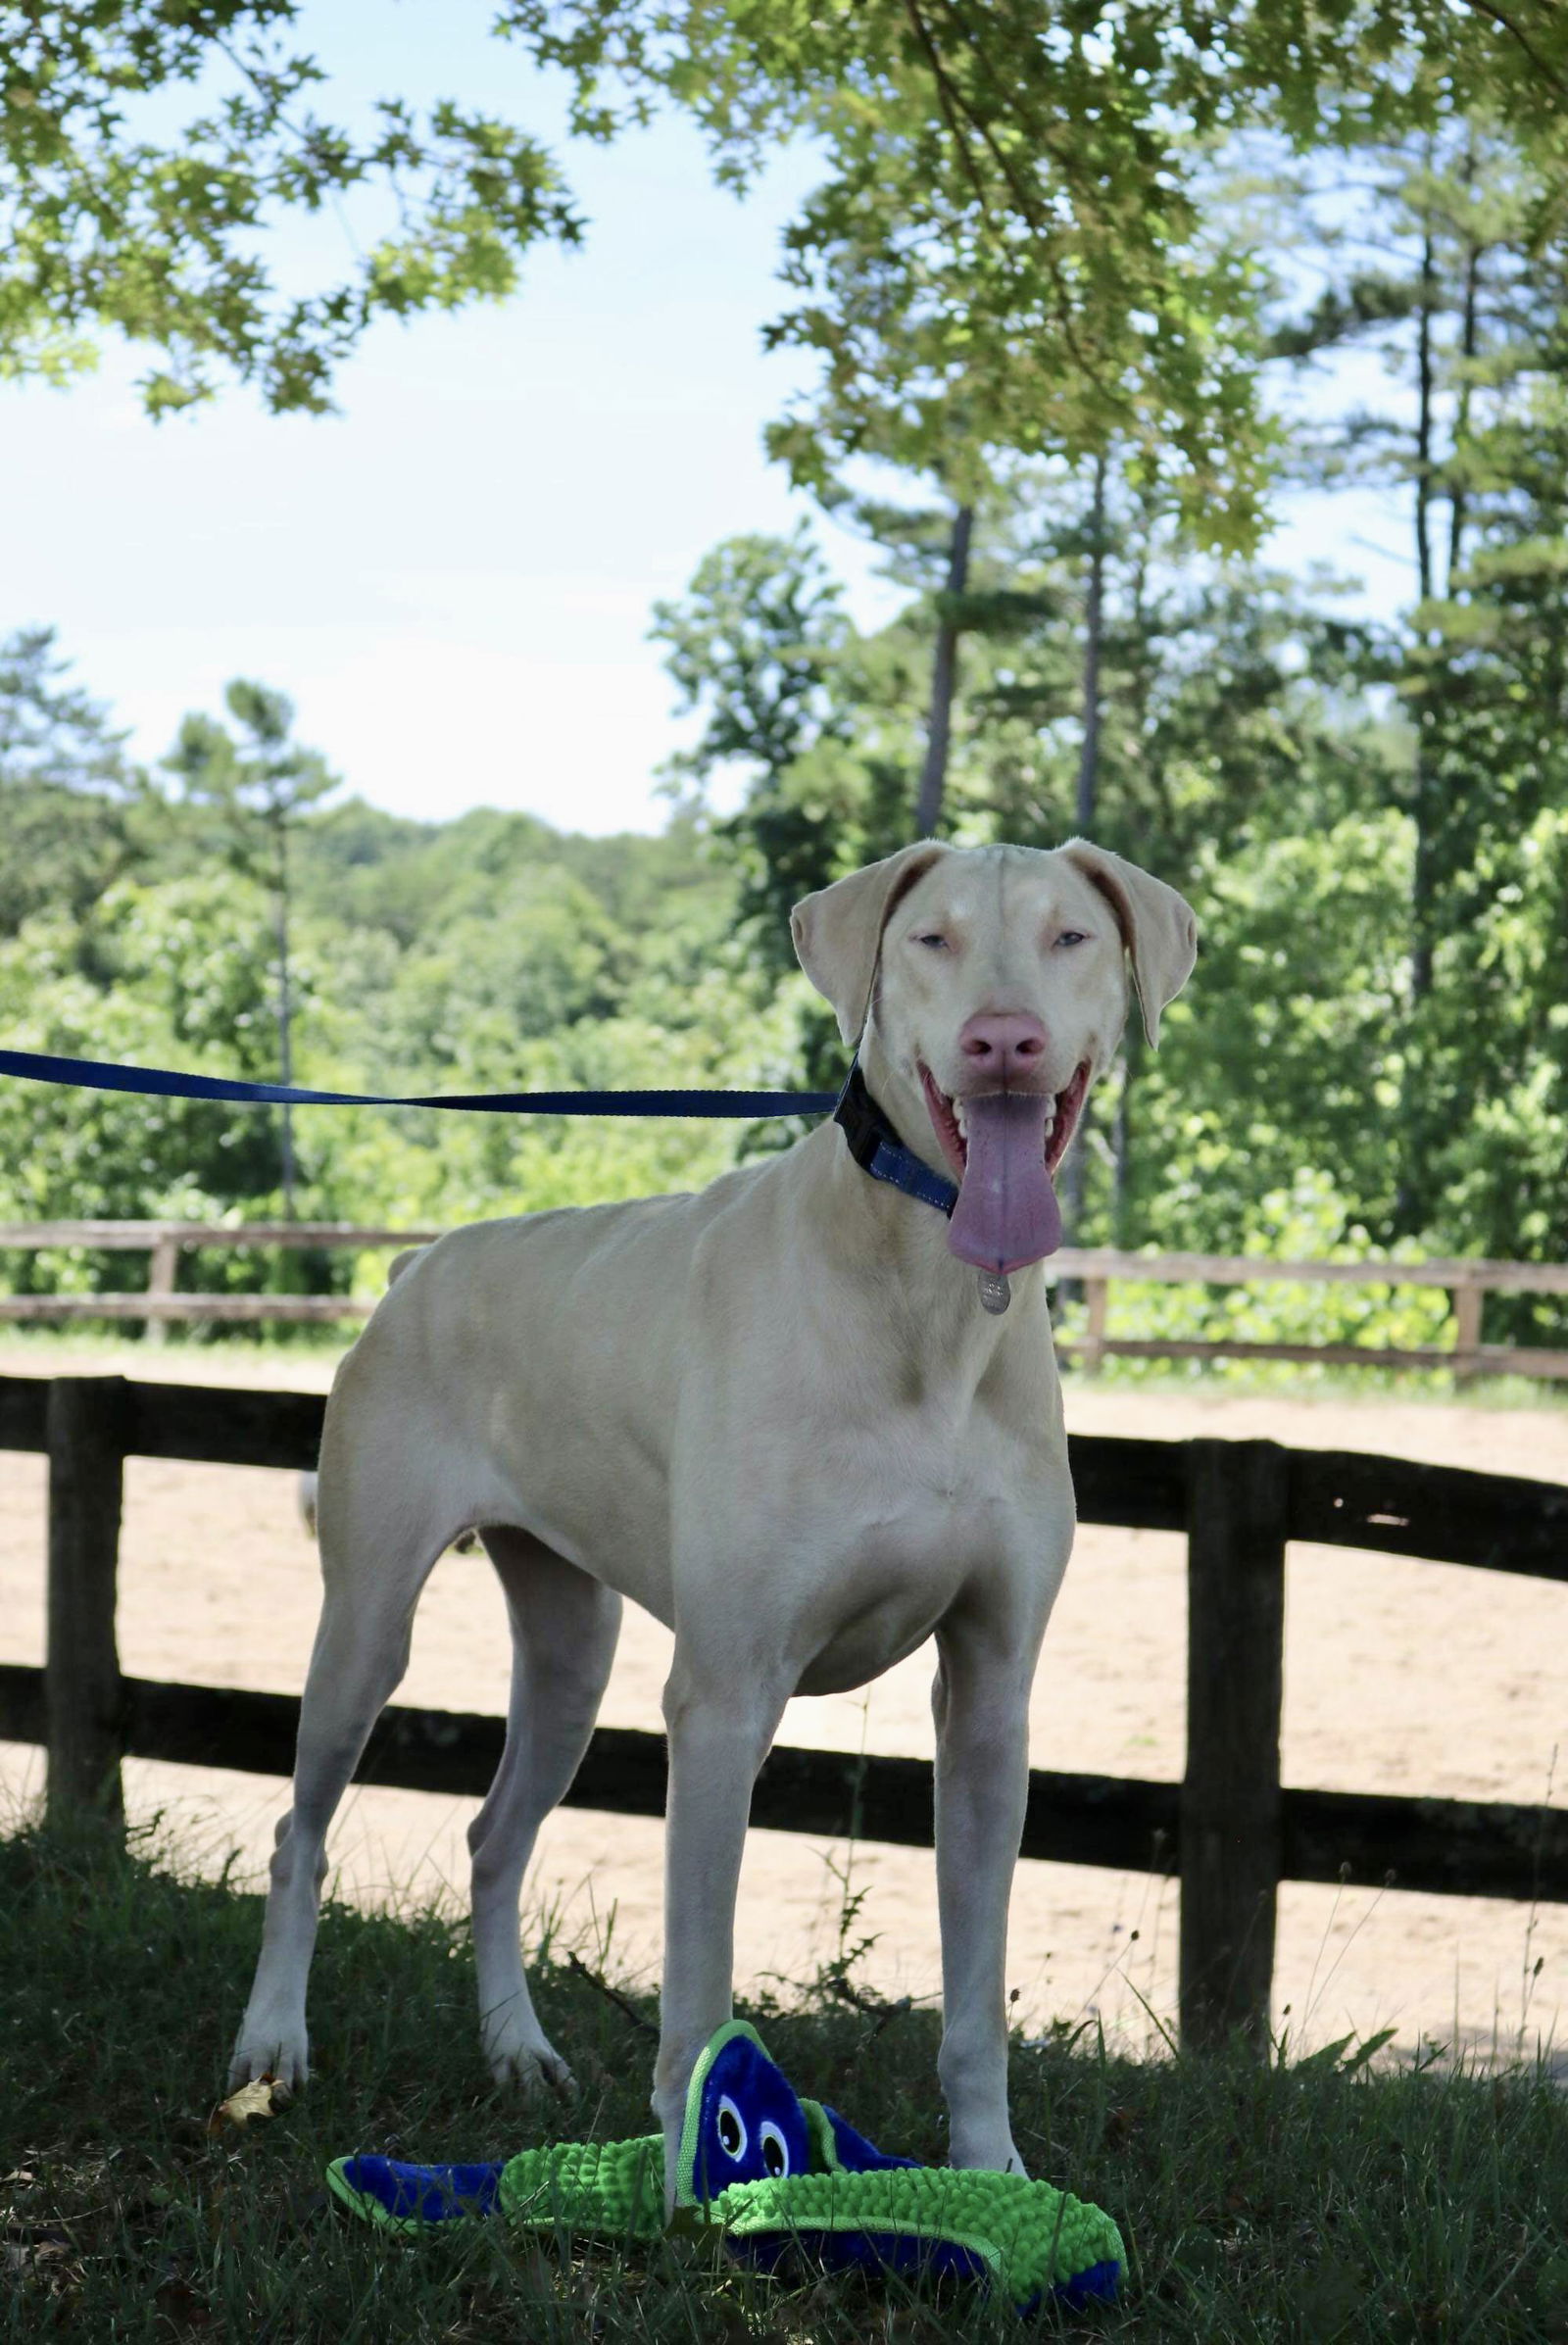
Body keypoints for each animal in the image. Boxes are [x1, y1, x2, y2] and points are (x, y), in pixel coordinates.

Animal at [229, 844, 1186, 2194]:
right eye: (932, 939)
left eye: (1069, 936)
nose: (1004, 1040)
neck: (927, 1297)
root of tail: (418, 1263)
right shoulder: (726, 1692)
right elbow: (698, 1977)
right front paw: (699, 2171)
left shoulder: (992, 1693)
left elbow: (974, 1990)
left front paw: (991, 2169)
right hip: (366, 1618)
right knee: (299, 1828)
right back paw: (270, 2044)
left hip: (569, 1648)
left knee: (493, 1835)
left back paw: (515, 2050)